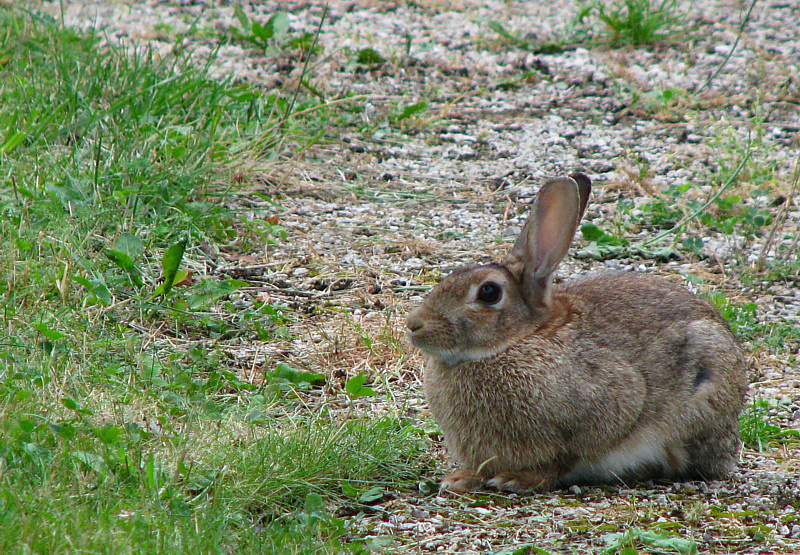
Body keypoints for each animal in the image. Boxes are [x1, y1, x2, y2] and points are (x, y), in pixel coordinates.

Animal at [406, 174, 752, 496]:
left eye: (489, 292)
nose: (414, 324)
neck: (522, 337)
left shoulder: (605, 407)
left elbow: (564, 458)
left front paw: (516, 479)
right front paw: (460, 479)